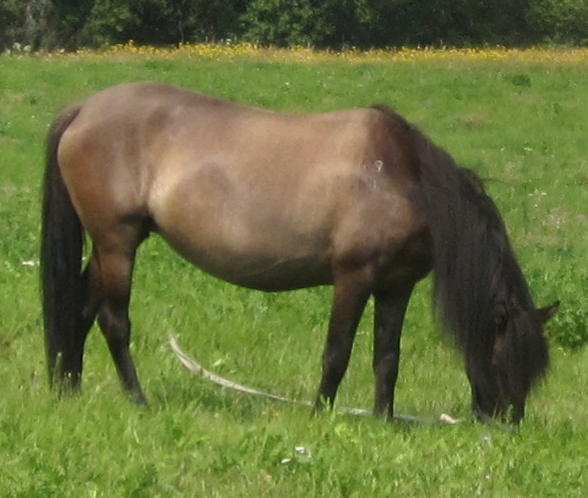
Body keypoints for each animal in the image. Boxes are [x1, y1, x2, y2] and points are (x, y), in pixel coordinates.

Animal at [41, 82, 558, 424]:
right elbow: (337, 353)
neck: (403, 179)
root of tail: (83, 109)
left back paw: (69, 391)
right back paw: (137, 400)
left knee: (79, 308)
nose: (506, 425)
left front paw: (383, 420)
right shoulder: (353, 277)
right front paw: (319, 415)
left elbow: (387, 357)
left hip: (111, 246)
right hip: (117, 242)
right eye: (502, 356)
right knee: (113, 321)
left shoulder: (396, 286)